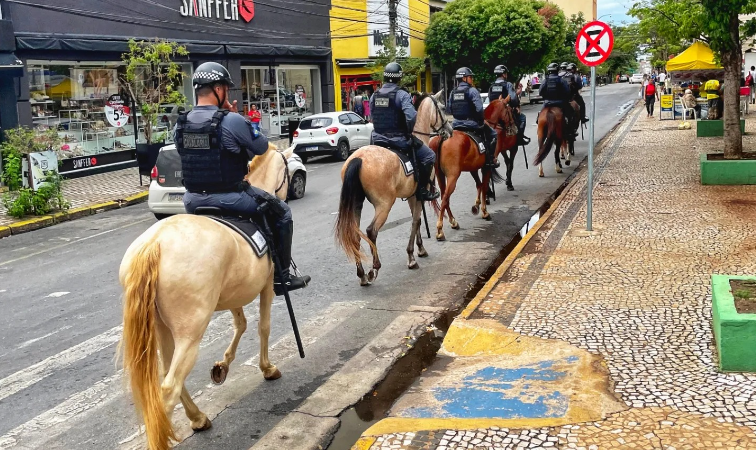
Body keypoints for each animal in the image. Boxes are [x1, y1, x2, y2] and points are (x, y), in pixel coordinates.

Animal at [119, 144, 290, 450]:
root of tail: (154, 244)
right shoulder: (267, 286)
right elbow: (263, 327)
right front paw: (267, 368)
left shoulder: (234, 294)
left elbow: (241, 324)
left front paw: (222, 366)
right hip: (191, 330)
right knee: (169, 387)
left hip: (161, 327)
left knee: (167, 374)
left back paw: (198, 418)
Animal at [332, 90, 448, 284]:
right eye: (443, 108)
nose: (450, 131)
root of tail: (359, 159)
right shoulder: (418, 195)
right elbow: (416, 220)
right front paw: (412, 256)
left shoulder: (412, 195)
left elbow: (416, 220)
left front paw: (419, 250)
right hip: (384, 204)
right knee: (371, 231)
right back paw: (374, 268)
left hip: (356, 203)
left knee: (355, 234)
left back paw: (362, 274)